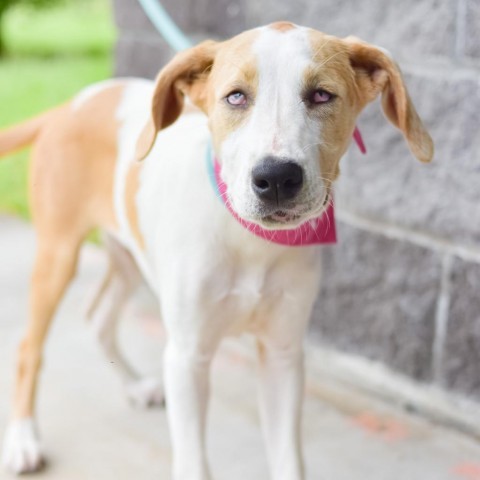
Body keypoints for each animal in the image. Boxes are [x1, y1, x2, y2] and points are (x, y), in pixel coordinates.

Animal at [0, 21, 436, 480]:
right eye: (235, 96)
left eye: (321, 95)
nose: (276, 178)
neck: (249, 241)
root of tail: (69, 106)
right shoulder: (186, 358)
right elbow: (194, 462)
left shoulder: (283, 354)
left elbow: (288, 460)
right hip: (57, 254)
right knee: (28, 348)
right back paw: (24, 440)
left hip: (130, 257)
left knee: (98, 316)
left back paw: (134, 385)